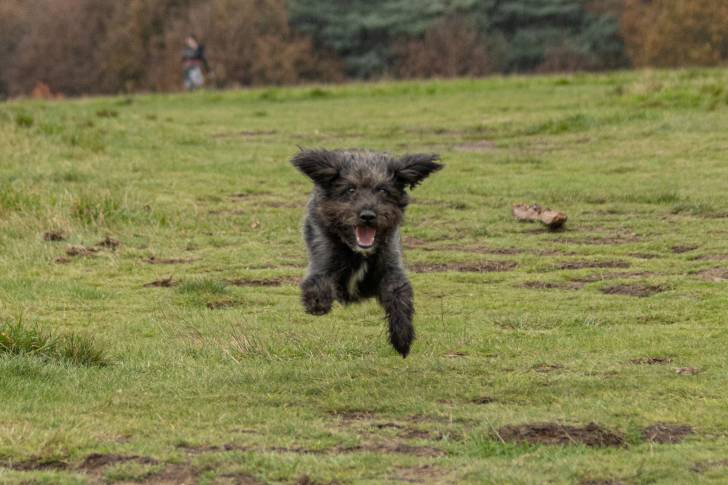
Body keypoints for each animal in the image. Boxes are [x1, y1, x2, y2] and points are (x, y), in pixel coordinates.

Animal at [290, 147, 444, 356]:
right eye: (350, 189)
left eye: (383, 190)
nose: (368, 215)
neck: (359, 252)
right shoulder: (323, 257)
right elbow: (318, 281)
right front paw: (317, 302)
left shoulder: (391, 266)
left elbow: (400, 294)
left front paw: (402, 337)